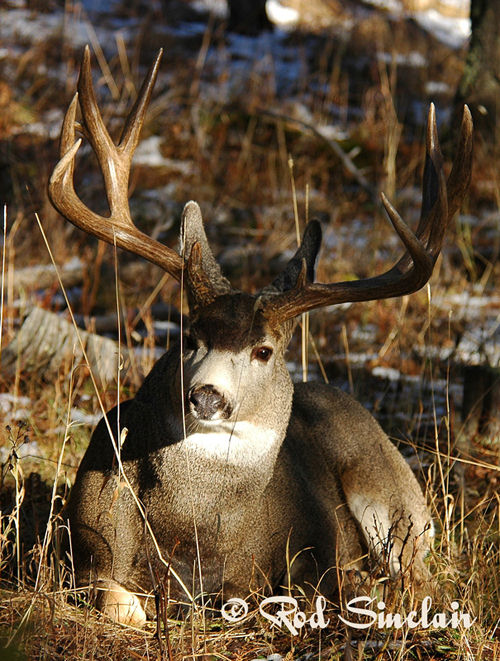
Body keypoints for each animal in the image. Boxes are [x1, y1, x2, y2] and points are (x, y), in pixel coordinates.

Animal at [48, 45, 474, 624]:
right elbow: (119, 602)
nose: (205, 394)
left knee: (420, 577)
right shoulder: (88, 546)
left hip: (397, 501)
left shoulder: (299, 561)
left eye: (263, 350)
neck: (194, 537)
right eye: (189, 338)